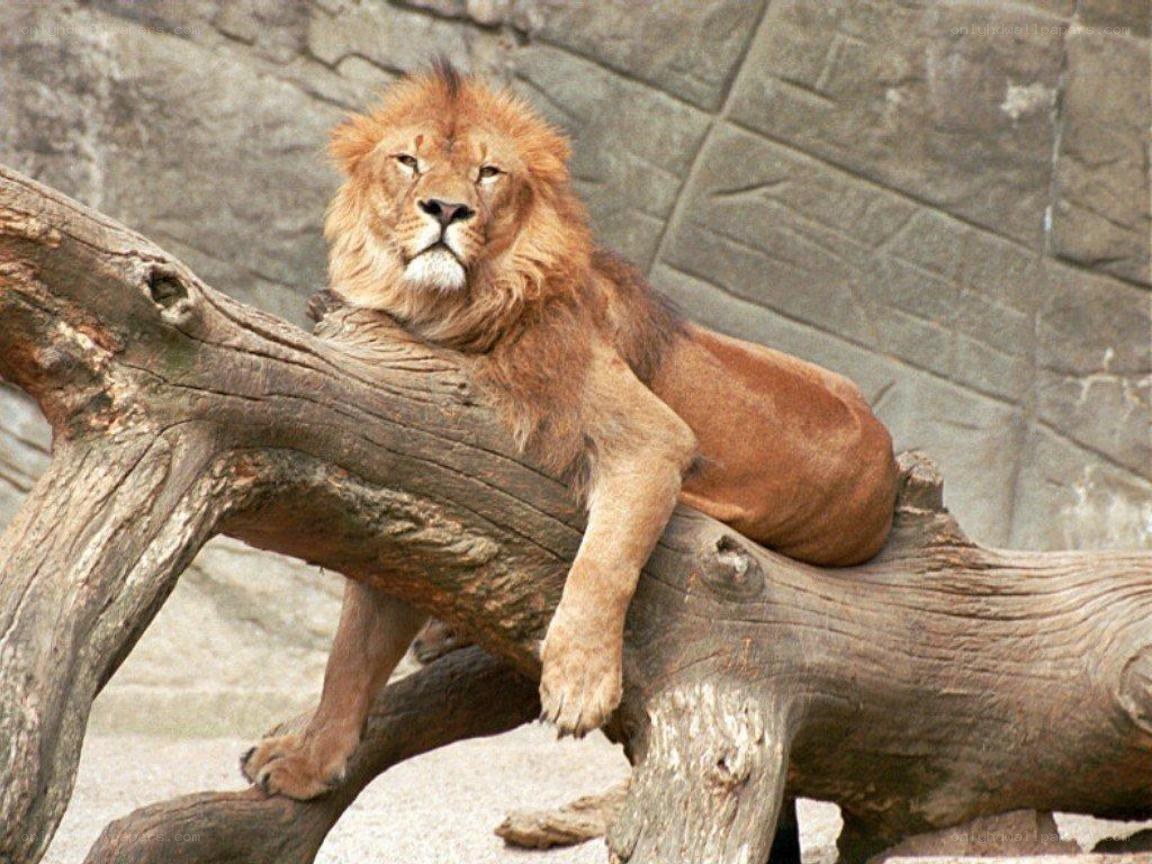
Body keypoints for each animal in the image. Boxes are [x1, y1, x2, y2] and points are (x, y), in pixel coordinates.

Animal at [241, 61, 899, 800]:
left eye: (488, 173)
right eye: (408, 161)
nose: (446, 210)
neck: (445, 310)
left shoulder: (653, 440)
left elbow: (603, 565)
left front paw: (581, 683)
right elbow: (351, 654)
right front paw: (307, 761)